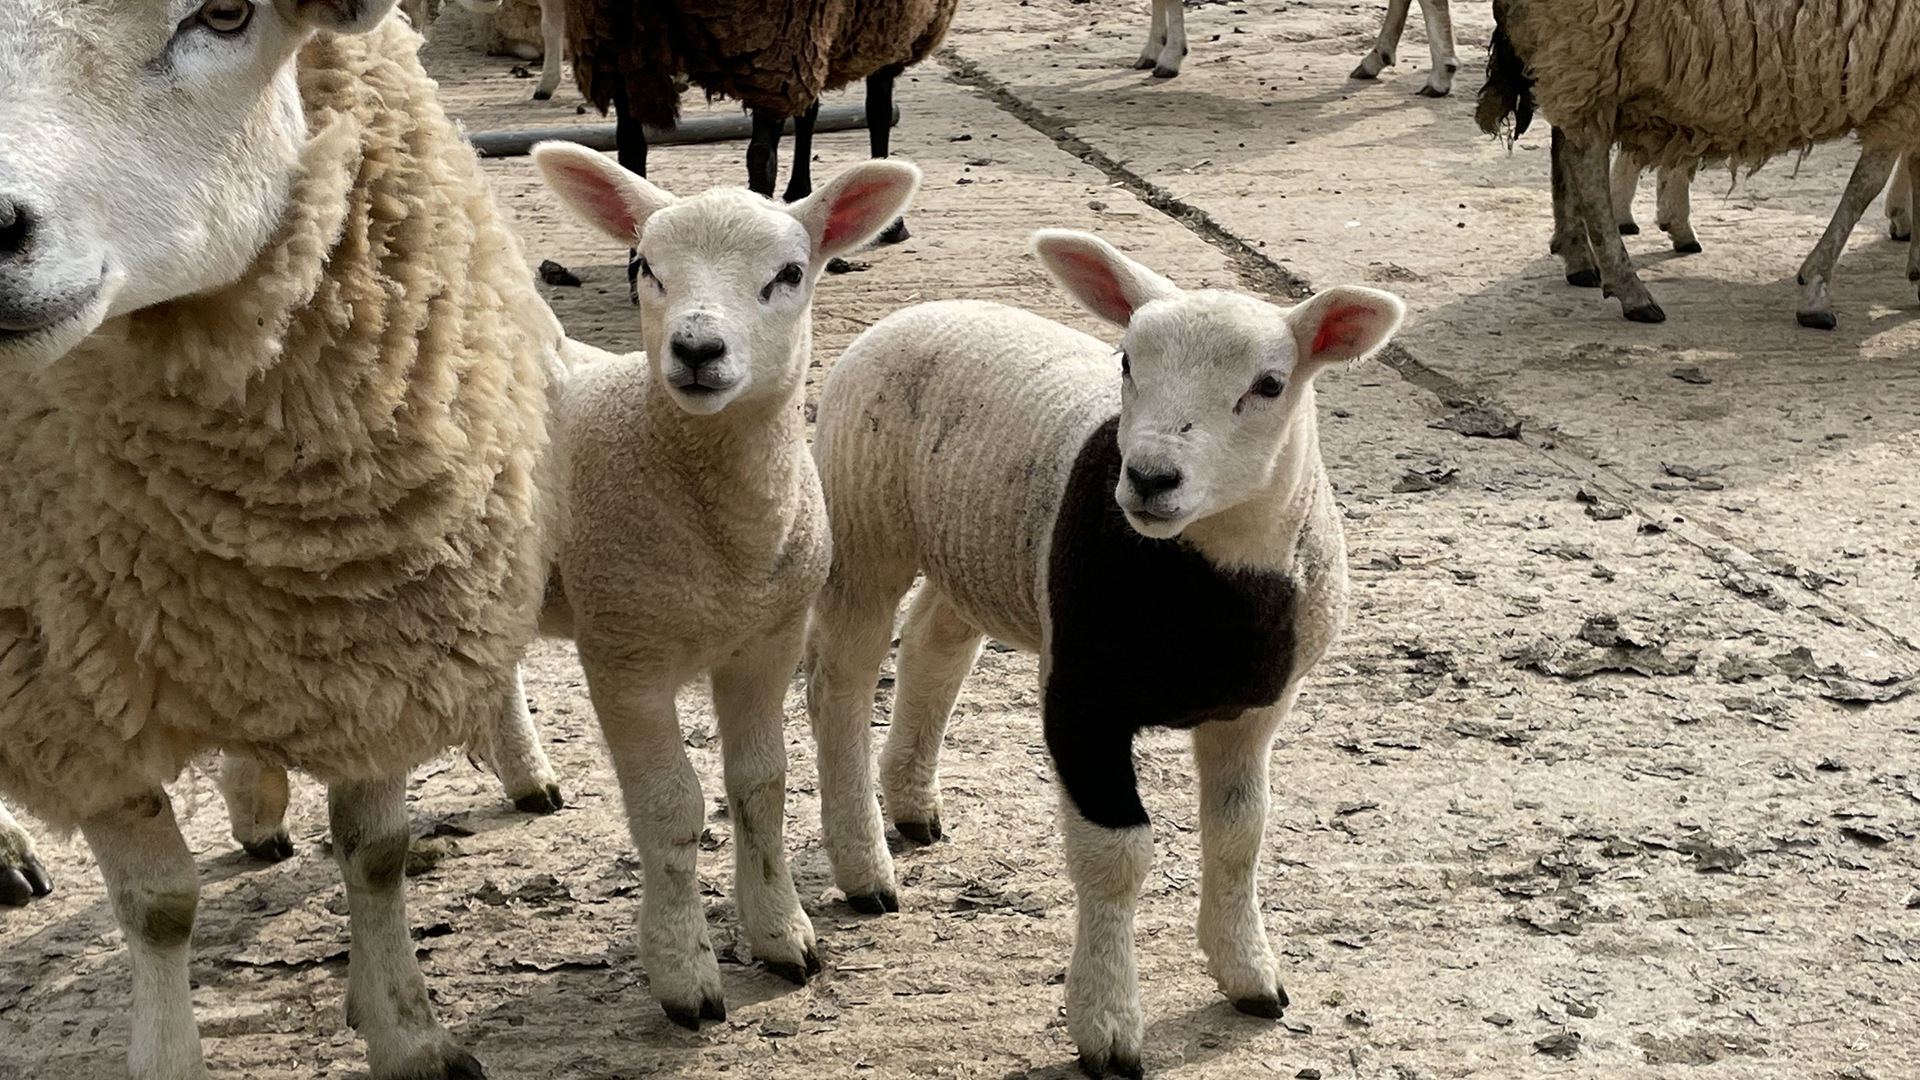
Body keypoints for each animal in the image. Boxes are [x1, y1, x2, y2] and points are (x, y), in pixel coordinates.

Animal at [0, 6, 564, 1077]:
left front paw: (406, 1030)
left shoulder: (377, 625)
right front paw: (167, 1053)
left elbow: (375, 853)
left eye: (227, 16)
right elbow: (159, 906)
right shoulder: (68, 692)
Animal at [530, 141, 921, 1028]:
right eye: (644, 267)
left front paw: (782, 935)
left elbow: (760, 784)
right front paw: (684, 975)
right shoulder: (624, 654)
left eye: (789, 273)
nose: (698, 349)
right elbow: (671, 808)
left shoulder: (765, 641)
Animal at [804, 230, 1404, 1079]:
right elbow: (1115, 855)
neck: (1204, 594)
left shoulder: (1255, 710)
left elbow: (1240, 836)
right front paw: (1108, 1026)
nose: (1150, 478)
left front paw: (1251, 977)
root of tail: (925, 309)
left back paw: (914, 806)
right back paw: (864, 868)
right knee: (842, 682)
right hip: (863, 524)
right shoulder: (1082, 697)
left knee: (934, 643)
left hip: (976, 551)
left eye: (1269, 385)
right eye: (1125, 360)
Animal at [1478, 0, 1920, 327]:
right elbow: (1866, 185)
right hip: (1586, 47)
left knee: (1565, 146)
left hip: (1583, 59)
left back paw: (1579, 254)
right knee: (1584, 162)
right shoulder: (1907, 83)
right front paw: (1815, 288)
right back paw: (1630, 288)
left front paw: (1916, 272)